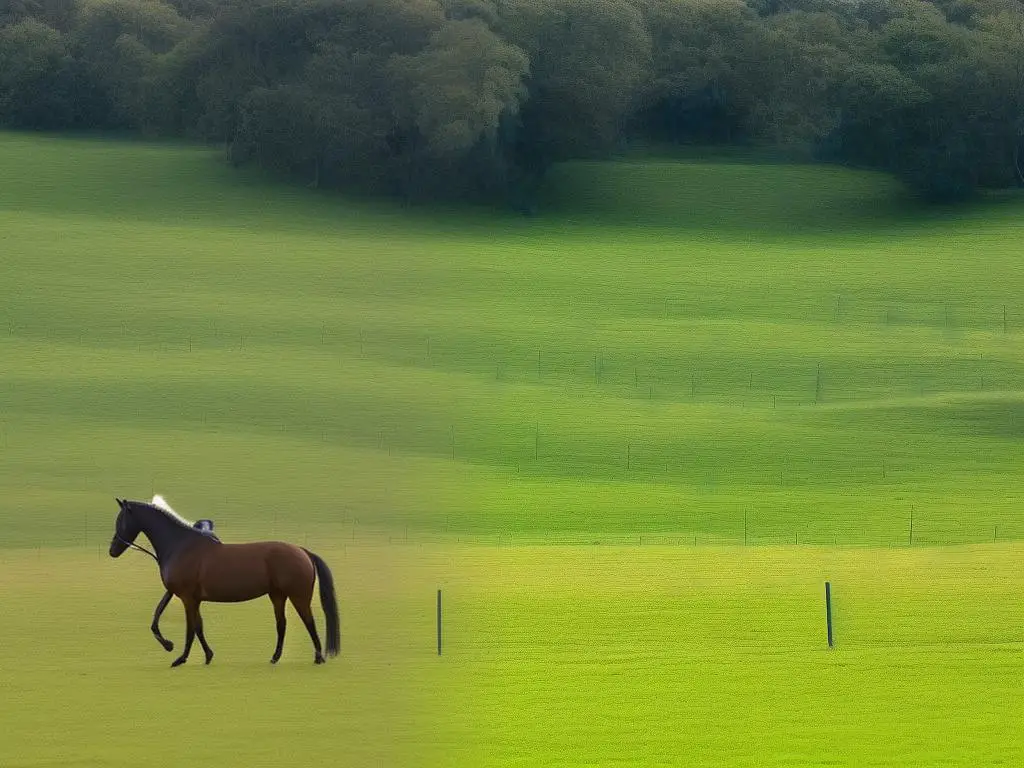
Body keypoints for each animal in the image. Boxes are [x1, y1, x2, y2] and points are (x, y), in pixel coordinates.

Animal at [109, 499, 339, 667]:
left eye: (121, 520)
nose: (113, 550)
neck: (180, 546)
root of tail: (303, 551)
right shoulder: (189, 598)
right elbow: (187, 624)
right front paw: (202, 654)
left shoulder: (187, 598)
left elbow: (190, 628)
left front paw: (180, 658)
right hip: (277, 596)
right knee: (281, 624)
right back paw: (275, 658)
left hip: (298, 596)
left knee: (308, 621)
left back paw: (318, 657)